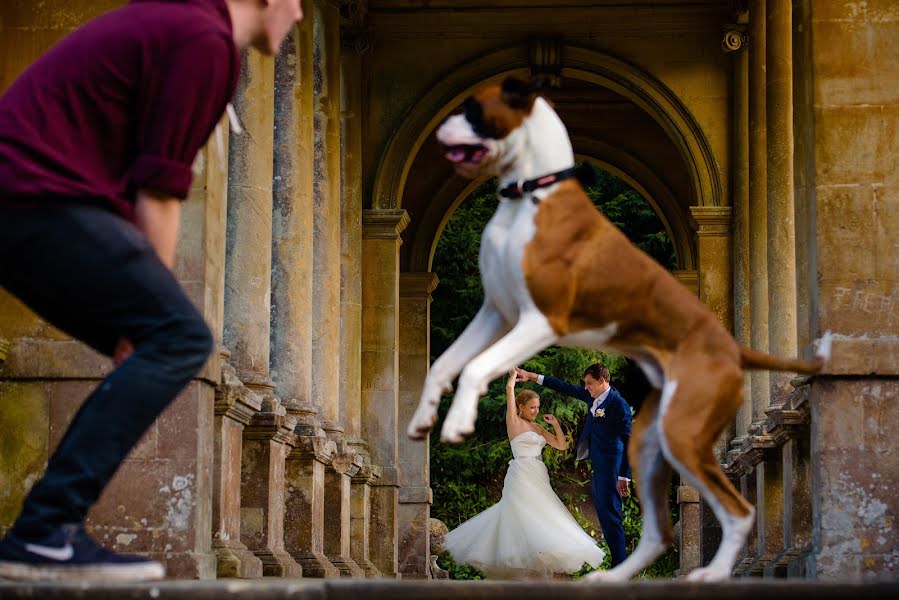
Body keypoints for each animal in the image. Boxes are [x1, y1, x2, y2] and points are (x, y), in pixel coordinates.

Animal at [404, 77, 832, 580]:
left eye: (474, 109)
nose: (438, 129)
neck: (532, 196)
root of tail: (733, 350)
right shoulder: (495, 311)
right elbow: (448, 364)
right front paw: (435, 412)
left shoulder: (539, 318)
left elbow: (475, 367)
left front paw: (465, 414)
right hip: (649, 443)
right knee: (658, 530)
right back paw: (614, 575)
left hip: (683, 436)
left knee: (736, 510)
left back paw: (708, 573)